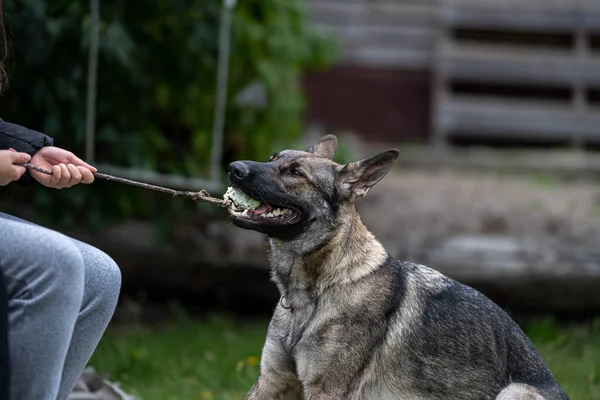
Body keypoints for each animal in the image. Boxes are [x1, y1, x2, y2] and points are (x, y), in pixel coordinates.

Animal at [224, 136, 568, 398]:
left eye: (296, 172)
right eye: (272, 158)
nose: (233, 168)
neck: (317, 291)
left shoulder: (326, 390)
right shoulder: (272, 382)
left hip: (513, 391)